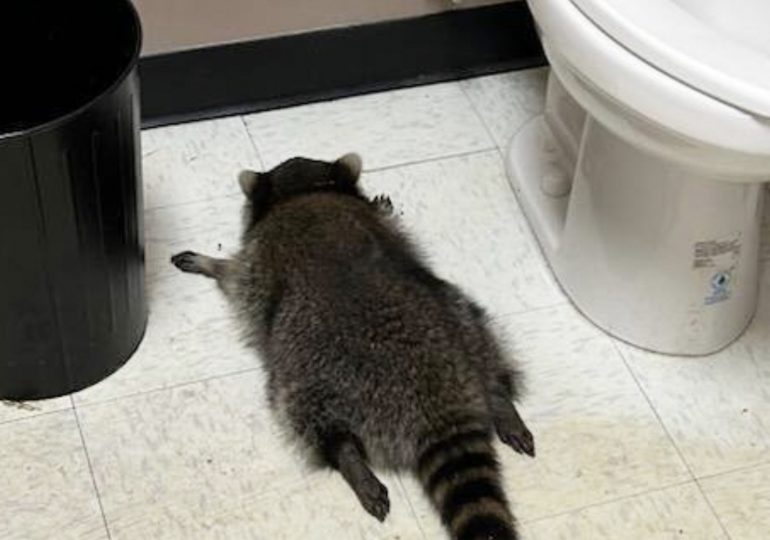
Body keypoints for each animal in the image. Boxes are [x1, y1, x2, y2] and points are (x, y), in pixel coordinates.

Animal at [171, 153, 535, 540]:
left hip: (312, 373)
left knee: (308, 417)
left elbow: (236, 277)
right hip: (461, 318)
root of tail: (438, 404)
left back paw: (348, 458)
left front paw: (212, 263)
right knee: (484, 343)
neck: (304, 191)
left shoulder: (257, 262)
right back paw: (499, 397)